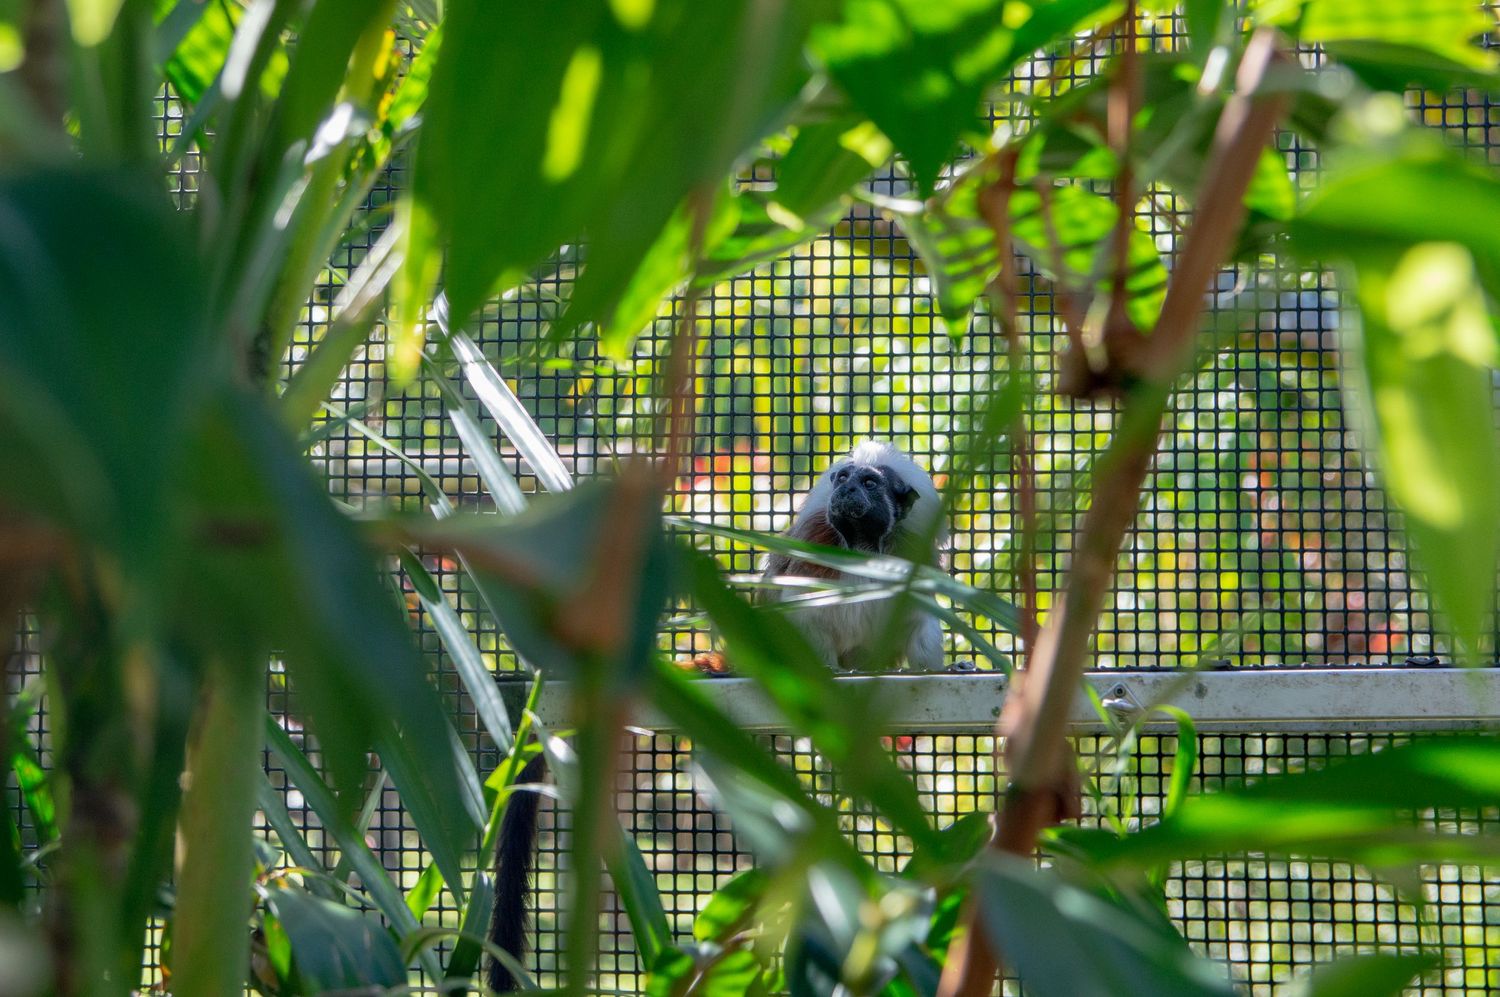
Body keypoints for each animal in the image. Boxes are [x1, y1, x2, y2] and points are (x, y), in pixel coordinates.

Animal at [762, 440, 946, 671]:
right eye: (843, 478)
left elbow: (919, 624)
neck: (861, 548)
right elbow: (806, 617)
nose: (846, 488)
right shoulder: (812, 543)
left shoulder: (914, 552)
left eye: (869, 483)